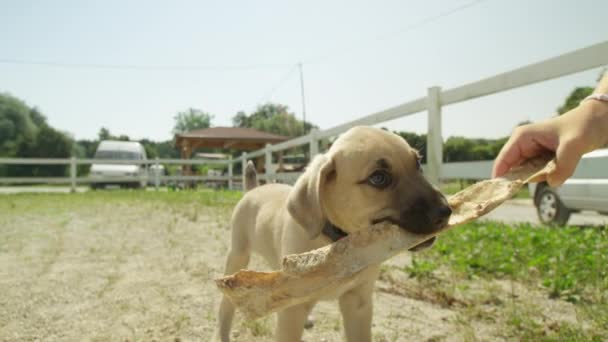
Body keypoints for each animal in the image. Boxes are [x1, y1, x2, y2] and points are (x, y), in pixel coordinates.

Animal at [217, 126, 452, 342]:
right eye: (379, 178)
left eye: (418, 164)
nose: (445, 212)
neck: (340, 245)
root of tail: (253, 189)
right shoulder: (292, 314)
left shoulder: (358, 303)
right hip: (237, 255)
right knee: (225, 309)